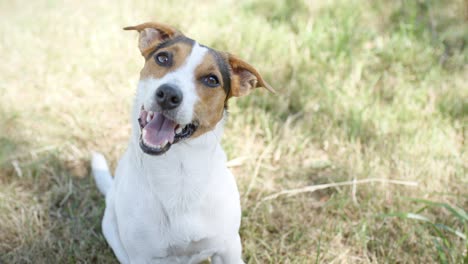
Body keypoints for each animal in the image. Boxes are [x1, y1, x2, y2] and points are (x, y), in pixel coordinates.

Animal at [91, 22, 272, 264]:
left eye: (211, 80)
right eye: (163, 58)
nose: (168, 94)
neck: (179, 170)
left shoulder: (228, 248)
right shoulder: (142, 256)